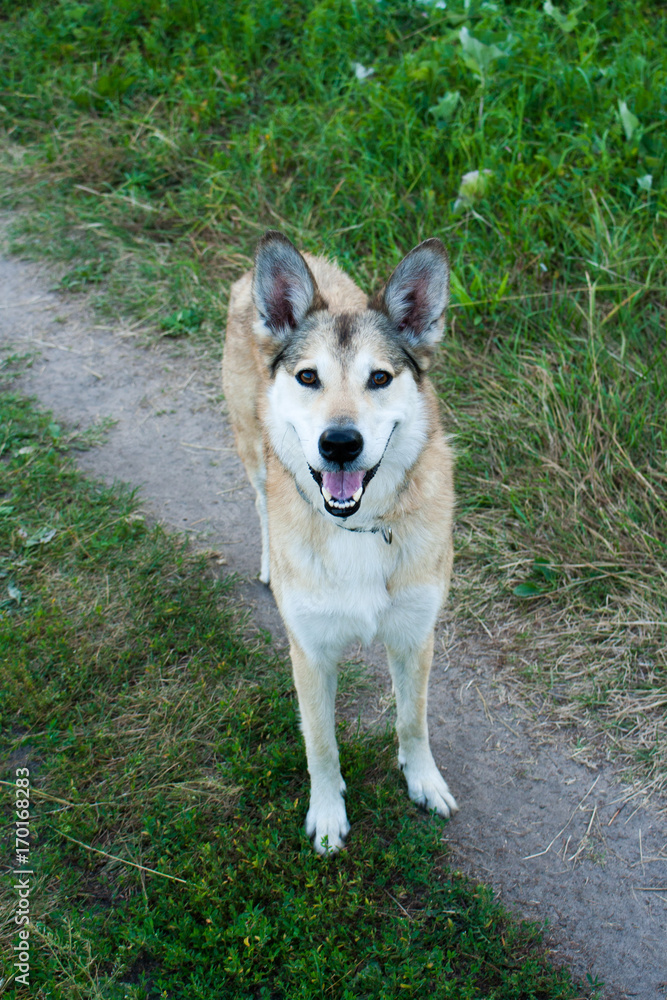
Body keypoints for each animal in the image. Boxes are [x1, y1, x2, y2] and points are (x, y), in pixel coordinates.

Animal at [222, 231, 458, 852]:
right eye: (309, 377)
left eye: (380, 378)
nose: (341, 444)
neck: (357, 528)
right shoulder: (310, 654)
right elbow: (320, 744)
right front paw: (327, 816)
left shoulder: (415, 636)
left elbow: (412, 720)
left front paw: (424, 782)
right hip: (253, 451)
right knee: (262, 500)